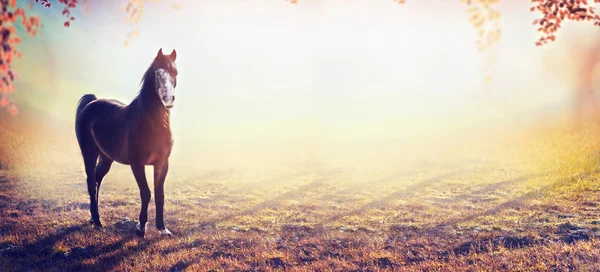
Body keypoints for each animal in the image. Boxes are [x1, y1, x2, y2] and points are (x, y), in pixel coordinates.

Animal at [75, 49, 178, 238]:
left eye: (175, 72)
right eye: (157, 73)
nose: (168, 99)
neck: (151, 124)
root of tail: (91, 102)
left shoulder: (162, 163)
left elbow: (159, 194)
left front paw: (162, 228)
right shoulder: (137, 164)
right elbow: (146, 193)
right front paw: (140, 228)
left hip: (106, 158)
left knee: (97, 180)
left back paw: (93, 218)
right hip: (89, 153)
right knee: (91, 182)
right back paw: (97, 220)